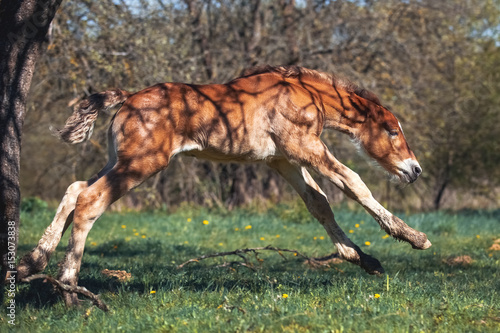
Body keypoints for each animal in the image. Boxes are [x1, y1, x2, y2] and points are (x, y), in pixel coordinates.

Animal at [16, 64, 430, 304]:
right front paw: (413, 237)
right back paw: (69, 291)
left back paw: (30, 263)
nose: (415, 170)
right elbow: (354, 183)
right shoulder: (304, 147)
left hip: (119, 160)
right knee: (89, 200)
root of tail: (128, 99)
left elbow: (319, 203)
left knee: (73, 190)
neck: (305, 95)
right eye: (392, 131)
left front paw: (364, 259)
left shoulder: (282, 159)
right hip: (142, 164)